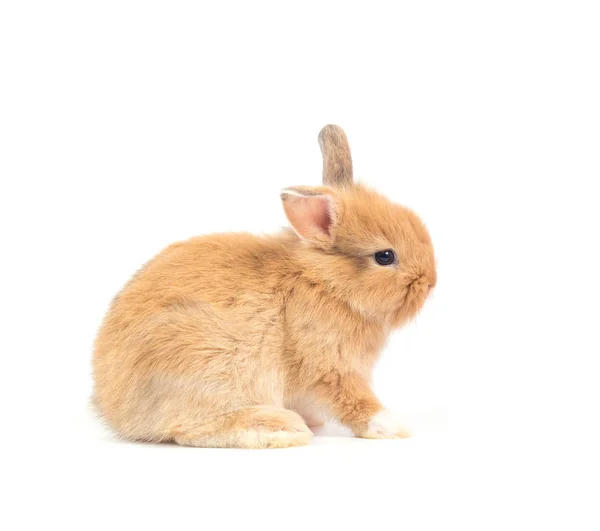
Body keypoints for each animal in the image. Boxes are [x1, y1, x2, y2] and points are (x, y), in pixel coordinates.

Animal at [92, 124, 436, 448]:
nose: (431, 282)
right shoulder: (330, 366)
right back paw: (279, 427)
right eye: (385, 256)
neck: (326, 282)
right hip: (207, 364)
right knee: (190, 427)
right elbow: (355, 401)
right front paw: (392, 427)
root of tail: (116, 410)